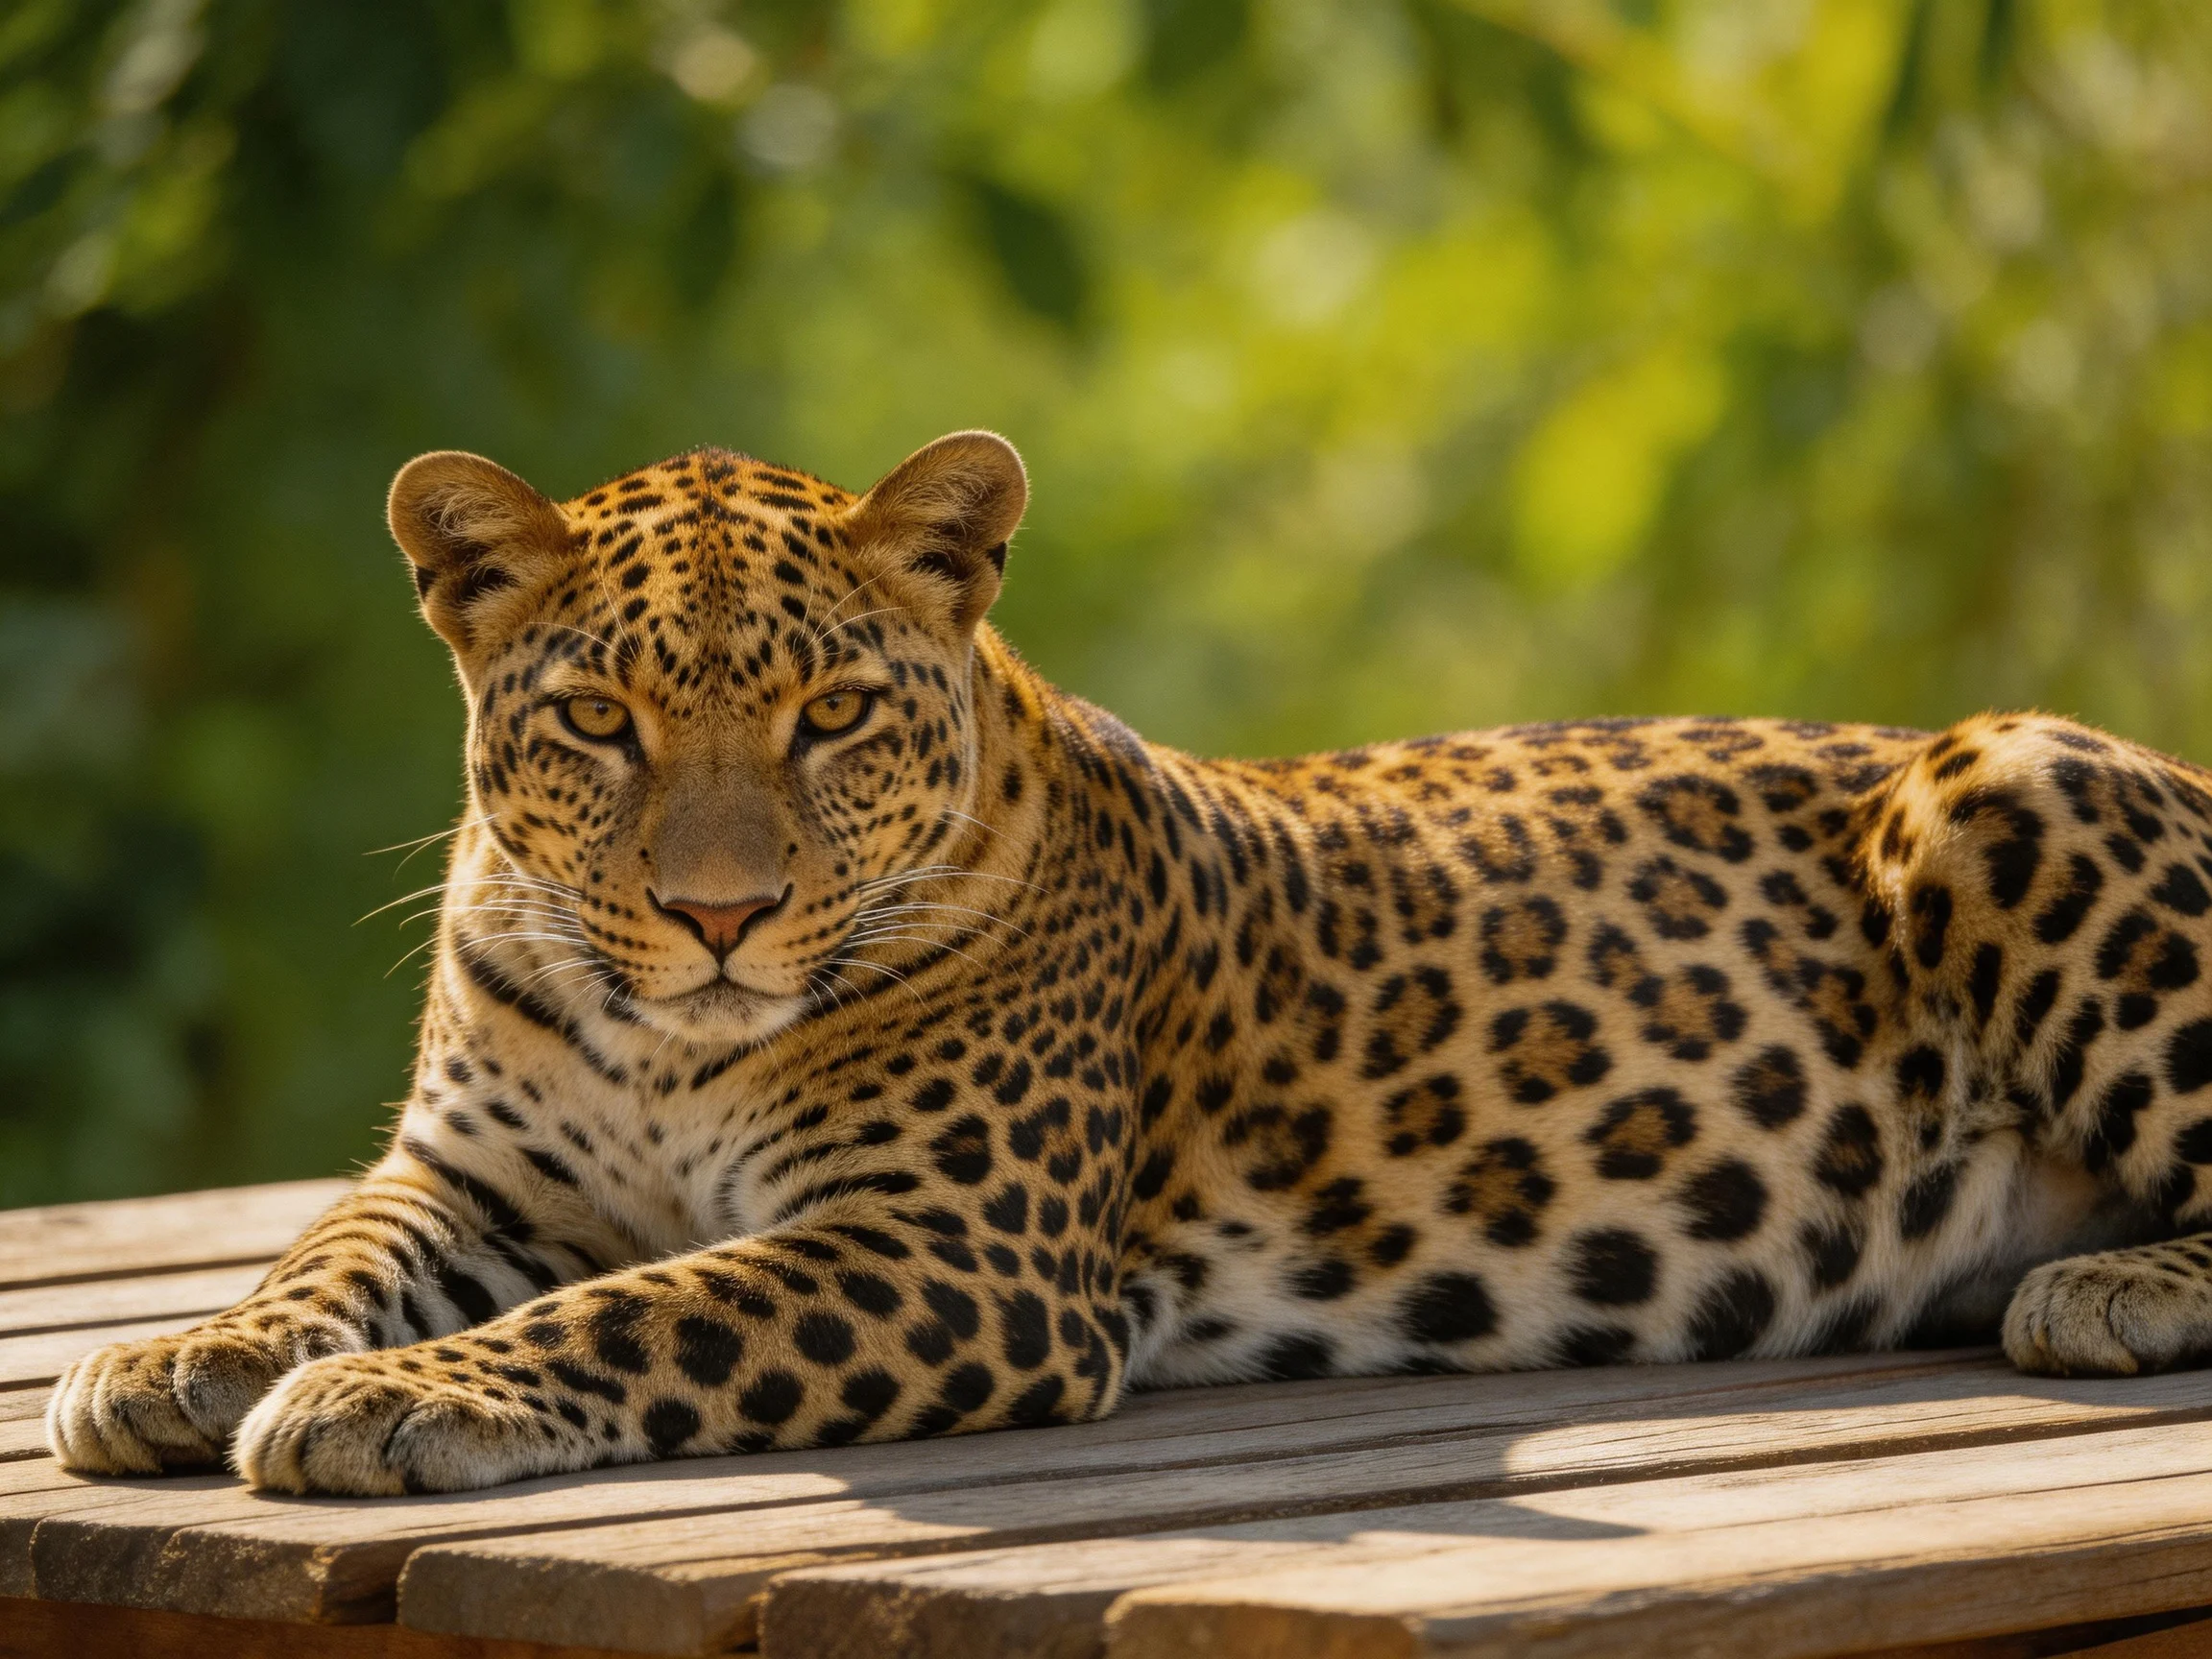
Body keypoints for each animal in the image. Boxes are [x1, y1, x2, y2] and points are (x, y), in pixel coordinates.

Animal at [47, 429, 2212, 1496]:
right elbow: (328, 1254)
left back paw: (2102, 1287)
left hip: (2002, 773)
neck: (666, 1044)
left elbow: (647, 1309)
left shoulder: (951, 1252)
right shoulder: (467, 1175)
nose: (718, 917)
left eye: (833, 716)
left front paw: (384, 1397)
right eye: (597, 721)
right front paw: (179, 1353)